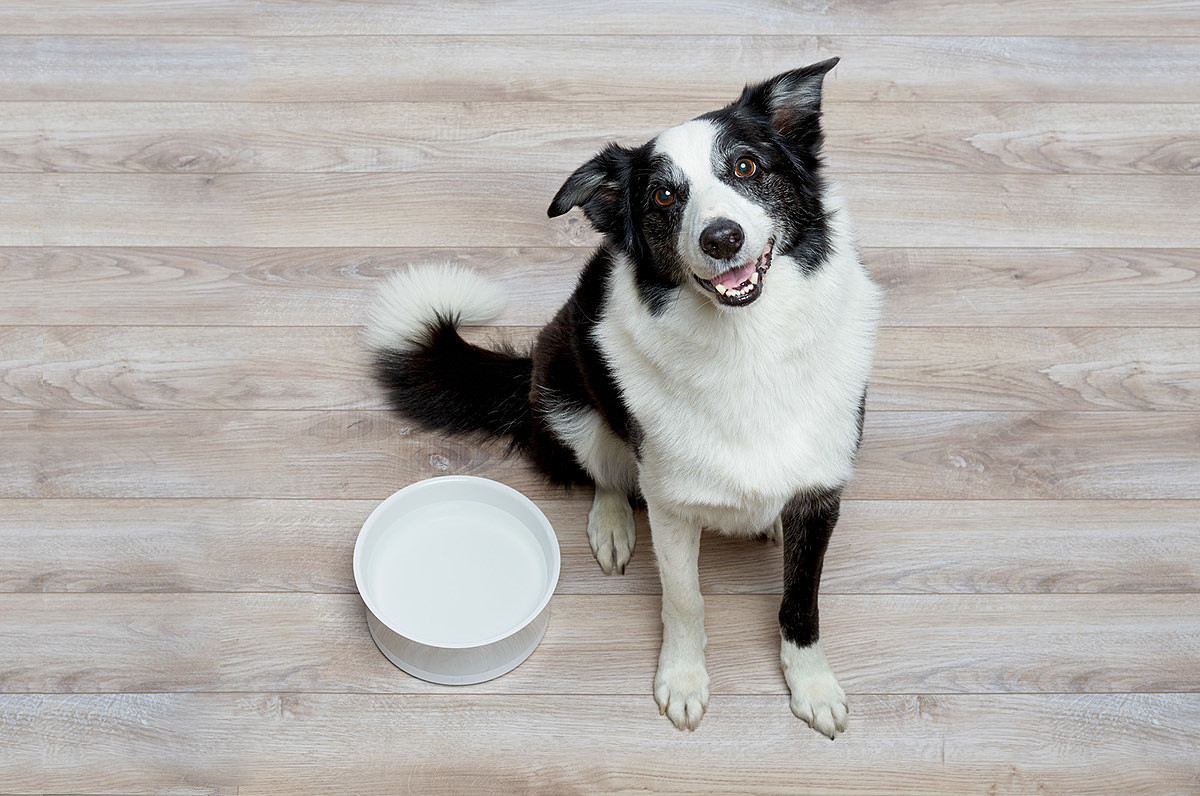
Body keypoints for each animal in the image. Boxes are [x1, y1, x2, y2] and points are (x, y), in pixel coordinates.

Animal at [364, 59, 883, 739]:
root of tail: (531, 369)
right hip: (569, 396)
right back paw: (611, 525)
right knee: (608, 474)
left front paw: (813, 686)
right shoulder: (671, 505)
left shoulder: (822, 495)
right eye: (663, 196)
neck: (749, 345)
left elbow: (801, 605)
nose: (721, 237)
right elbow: (685, 600)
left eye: (746, 167)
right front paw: (684, 680)